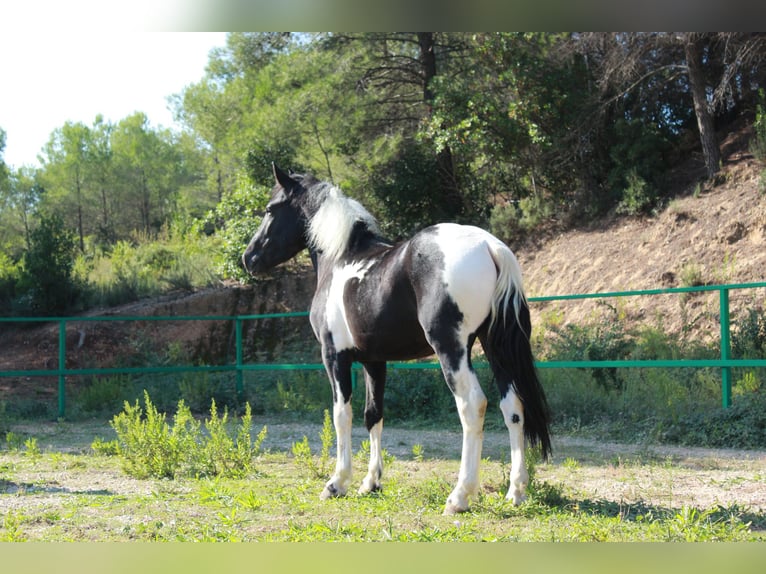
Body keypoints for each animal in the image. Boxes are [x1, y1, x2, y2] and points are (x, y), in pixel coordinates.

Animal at [242, 164, 551, 514]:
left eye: (270, 209)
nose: (249, 258)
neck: (341, 258)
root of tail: (489, 245)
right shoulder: (374, 361)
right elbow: (373, 415)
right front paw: (370, 483)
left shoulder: (335, 356)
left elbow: (341, 416)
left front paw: (337, 483)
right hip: (494, 347)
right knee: (512, 406)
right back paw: (516, 492)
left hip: (452, 350)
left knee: (472, 406)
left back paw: (459, 497)